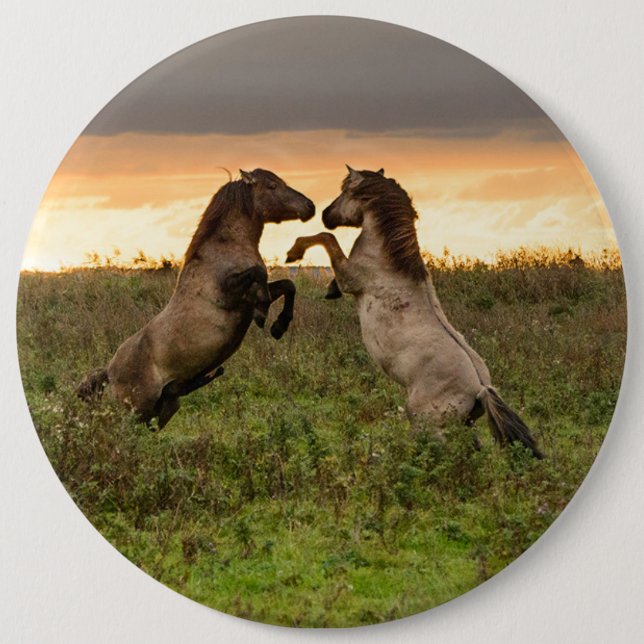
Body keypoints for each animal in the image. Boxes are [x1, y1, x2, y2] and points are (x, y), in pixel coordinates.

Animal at [77, 169, 315, 429]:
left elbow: (288, 286)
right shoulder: (229, 294)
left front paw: (279, 326)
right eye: (272, 186)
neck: (225, 249)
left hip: (160, 410)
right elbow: (260, 274)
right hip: (133, 412)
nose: (310, 206)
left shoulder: (248, 297)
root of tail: (109, 372)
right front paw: (264, 315)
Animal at [286, 166, 543, 458]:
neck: (386, 260)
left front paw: (294, 253)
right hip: (462, 425)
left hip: (425, 422)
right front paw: (329, 288)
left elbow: (327, 239)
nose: (326, 214)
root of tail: (480, 388)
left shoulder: (350, 277)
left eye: (346, 191)